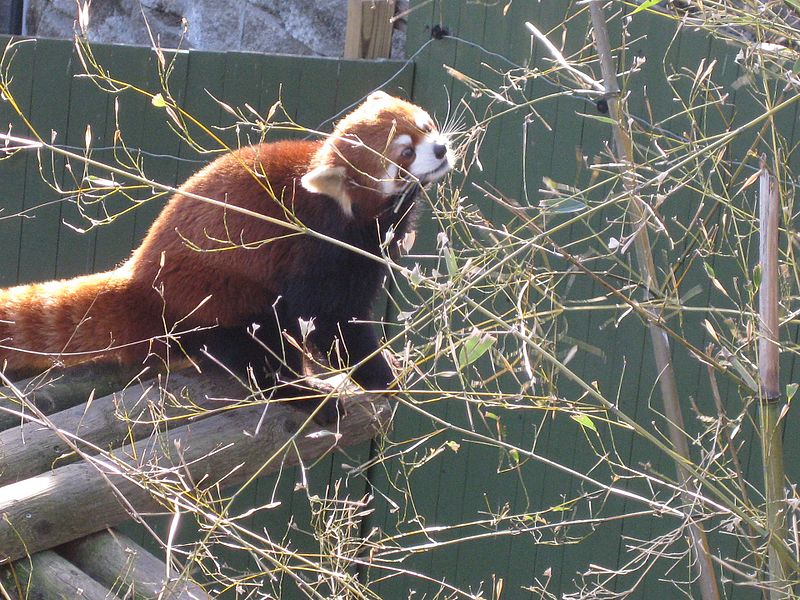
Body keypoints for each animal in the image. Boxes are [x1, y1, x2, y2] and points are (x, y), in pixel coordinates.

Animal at [0, 90, 454, 398]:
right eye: (405, 154)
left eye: (426, 126)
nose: (441, 148)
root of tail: (140, 275)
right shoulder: (320, 248)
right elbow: (330, 321)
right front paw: (377, 374)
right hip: (220, 295)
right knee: (258, 345)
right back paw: (303, 395)